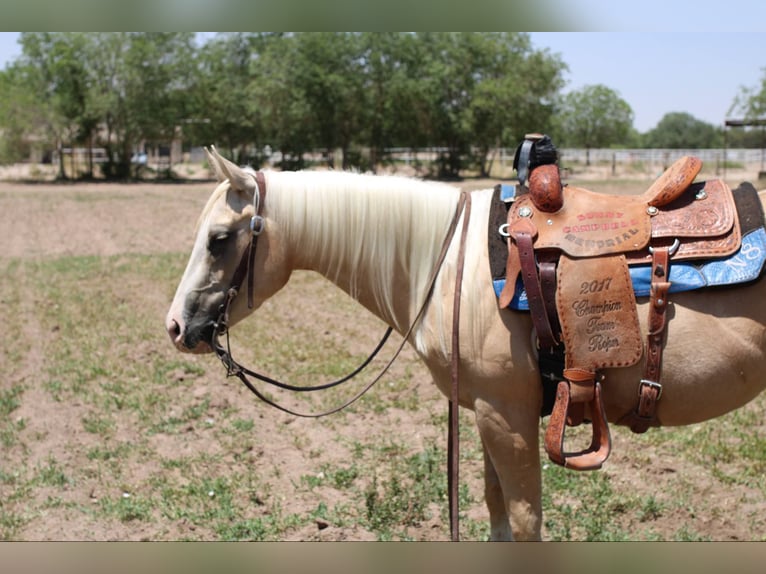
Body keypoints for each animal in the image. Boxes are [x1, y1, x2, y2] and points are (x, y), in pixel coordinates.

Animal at [166, 147, 766, 541]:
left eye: (219, 239)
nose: (175, 327)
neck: (449, 262)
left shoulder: (507, 415)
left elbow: (523, 522)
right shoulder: (487, 411)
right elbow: (495, 510)